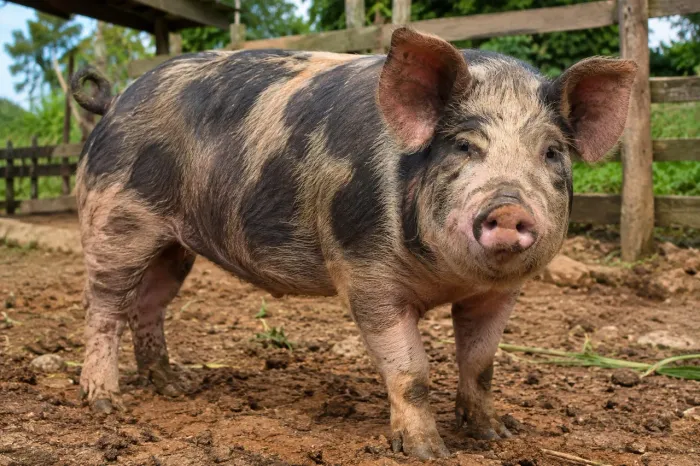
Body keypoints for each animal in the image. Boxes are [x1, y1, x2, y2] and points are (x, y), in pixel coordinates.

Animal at [70, 27, 636, 459]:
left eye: (552, 152)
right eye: (463, 146)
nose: (509, 208)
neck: (446, 279)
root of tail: (114, 103)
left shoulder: (500, 294)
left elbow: (480, 365)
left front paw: (496, 434)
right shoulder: (366, 273)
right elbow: (411, 372)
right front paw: (428, 452)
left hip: (173, 246)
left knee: (148, 305)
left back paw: (176, 384)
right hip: (116, 220)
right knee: (104, 308)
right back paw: (105, 403)